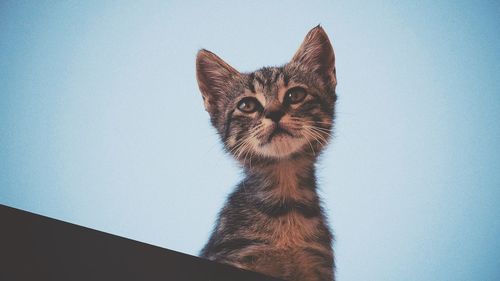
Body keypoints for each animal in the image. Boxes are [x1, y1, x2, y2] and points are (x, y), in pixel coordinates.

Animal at [195, 24, 336, 280]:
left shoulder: (317, 265)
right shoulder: (234, 254)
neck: (286, 205)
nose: (274, 113)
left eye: (295, 95)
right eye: (247, 105)